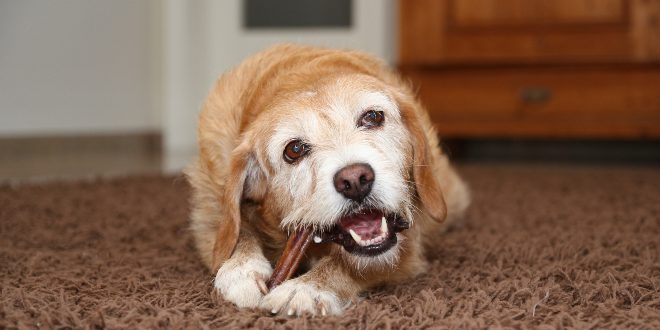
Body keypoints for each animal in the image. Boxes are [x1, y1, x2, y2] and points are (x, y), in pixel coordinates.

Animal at [186, 43, 470, 314]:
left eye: (373, 116)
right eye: (294, 150)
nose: (355, 180)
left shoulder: (407, 244)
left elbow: (347, 264)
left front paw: (306, 288)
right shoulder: (208, 217)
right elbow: (235, 231)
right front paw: (241, 268)